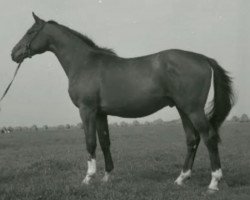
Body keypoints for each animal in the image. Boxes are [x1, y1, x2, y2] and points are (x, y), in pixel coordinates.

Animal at [11, 12, 234, 192]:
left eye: (30, 32)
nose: (14, 53)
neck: (84, 63)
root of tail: (203, 58)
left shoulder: (87, 110)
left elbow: (90, 142)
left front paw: (88, 178)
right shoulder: (100, 113)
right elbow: (105, 142)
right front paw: (106, 177)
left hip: (193, 109)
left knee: (208, 137)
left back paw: (214, 182)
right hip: (183, 109)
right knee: (192, 140)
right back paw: (181, 179)